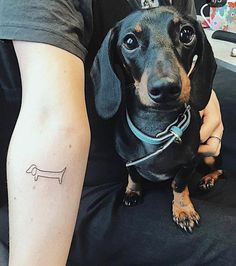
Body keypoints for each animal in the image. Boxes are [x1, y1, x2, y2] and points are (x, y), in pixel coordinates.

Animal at [91, 5, 223, 232]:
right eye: (130, 41)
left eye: (186, 33)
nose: (165, 89)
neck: (157, 127)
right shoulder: (128, 160)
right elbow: (134, 175)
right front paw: (132, 191)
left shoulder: (189, 162)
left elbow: (178, 184)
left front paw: (183, 209)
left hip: (208, 155)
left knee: (220, 169)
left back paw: (208, 179)